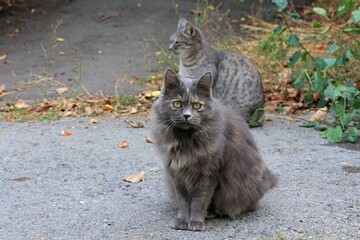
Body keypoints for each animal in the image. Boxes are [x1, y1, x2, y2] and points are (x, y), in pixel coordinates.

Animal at [150, 69, 278, 231]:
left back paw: (211, 214)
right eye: (177, 104)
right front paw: (182, 221)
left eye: (197, 105)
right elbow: (183, 202)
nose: (186, 115)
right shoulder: (176, 173)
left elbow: (199, 201)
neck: (186, 141)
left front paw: (196, 222)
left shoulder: (208, 174)